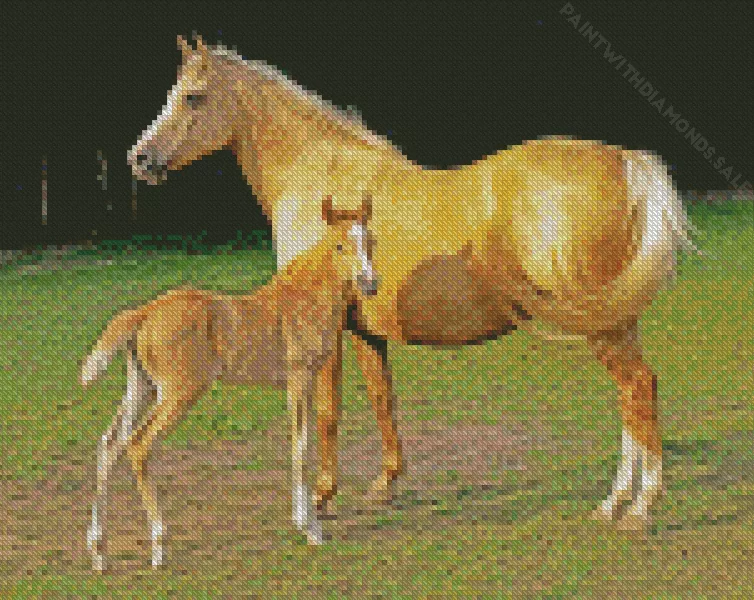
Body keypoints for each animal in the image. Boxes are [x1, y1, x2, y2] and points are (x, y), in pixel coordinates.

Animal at [81, 195, 376, 570]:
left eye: (371, 241)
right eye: (339, 244)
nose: (370, 283)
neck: (303, 298)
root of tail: (145, 312)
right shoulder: (299, 377)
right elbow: (301, 445)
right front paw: (310, 528)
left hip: (142, 387)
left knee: (110, 443)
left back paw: (99, 552)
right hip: (179, 392)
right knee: (138, 444)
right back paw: (159, 547)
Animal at [127, 33, 693, 531]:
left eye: (193, 96)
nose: (140, 157)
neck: (324, 178)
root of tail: (626, 161)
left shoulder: (324, 333)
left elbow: (327, 412)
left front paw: (322, 497)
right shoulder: (366, 330)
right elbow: (383, 399)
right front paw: (385, 485)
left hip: (603, 326)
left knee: (637, 388)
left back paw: (640, 509)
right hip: (614, 320)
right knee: (631, 397)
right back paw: (613, 503)